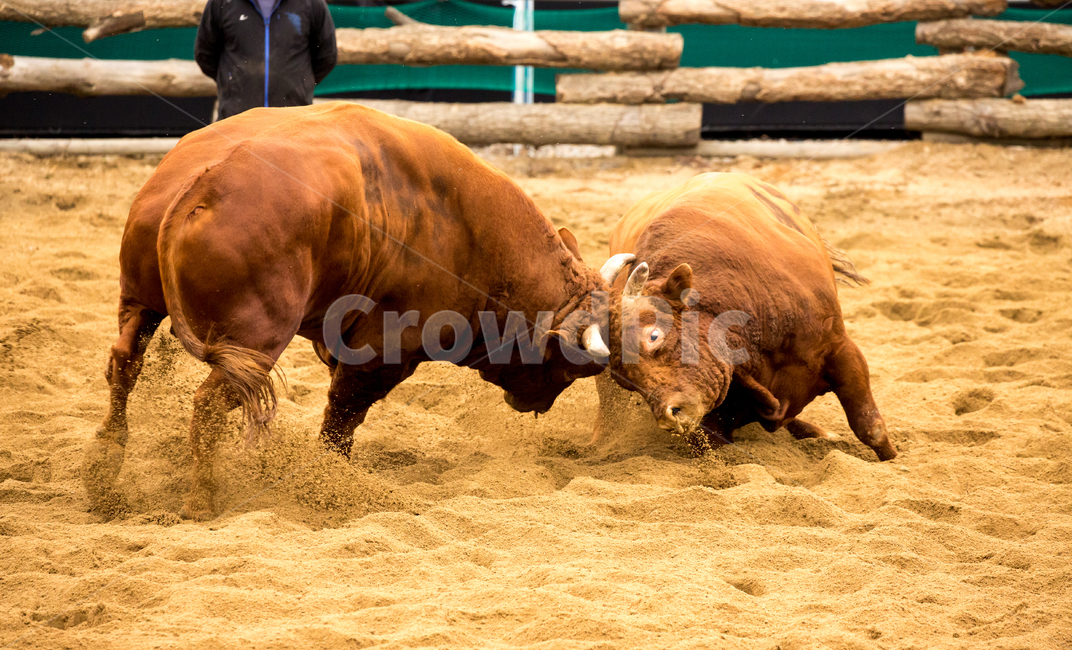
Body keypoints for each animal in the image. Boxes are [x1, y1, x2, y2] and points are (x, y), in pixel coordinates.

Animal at [83, 102, 630, 520]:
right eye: (569, 369)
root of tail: (202, 183)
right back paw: (201, 499)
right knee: (208, 404)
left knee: (124, 367)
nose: (536, 404)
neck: (464, 226)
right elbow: (342, 418)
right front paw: (336, 486)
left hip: (140, 305)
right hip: (254, 345)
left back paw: (104, 473)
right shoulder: (382, 352)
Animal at [594, 172, 897, 461]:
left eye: (653, 335)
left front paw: (891, 460)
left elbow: (869, 428)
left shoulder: (839, 348)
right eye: (624, 380)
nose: (670, 416)